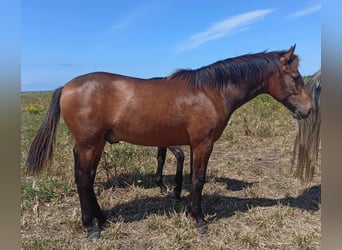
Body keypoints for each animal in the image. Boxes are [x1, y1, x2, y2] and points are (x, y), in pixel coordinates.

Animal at [26, 45, 312, 242]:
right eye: (296, 77)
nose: (308, 109)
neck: (211, 92)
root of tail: (66, 86)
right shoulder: (202, 144)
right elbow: (197, 180)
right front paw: (199, 219)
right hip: (89, 144)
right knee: (84, 179)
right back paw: (92, 228)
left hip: (95, 145)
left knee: (87, 178)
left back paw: (102, 218)